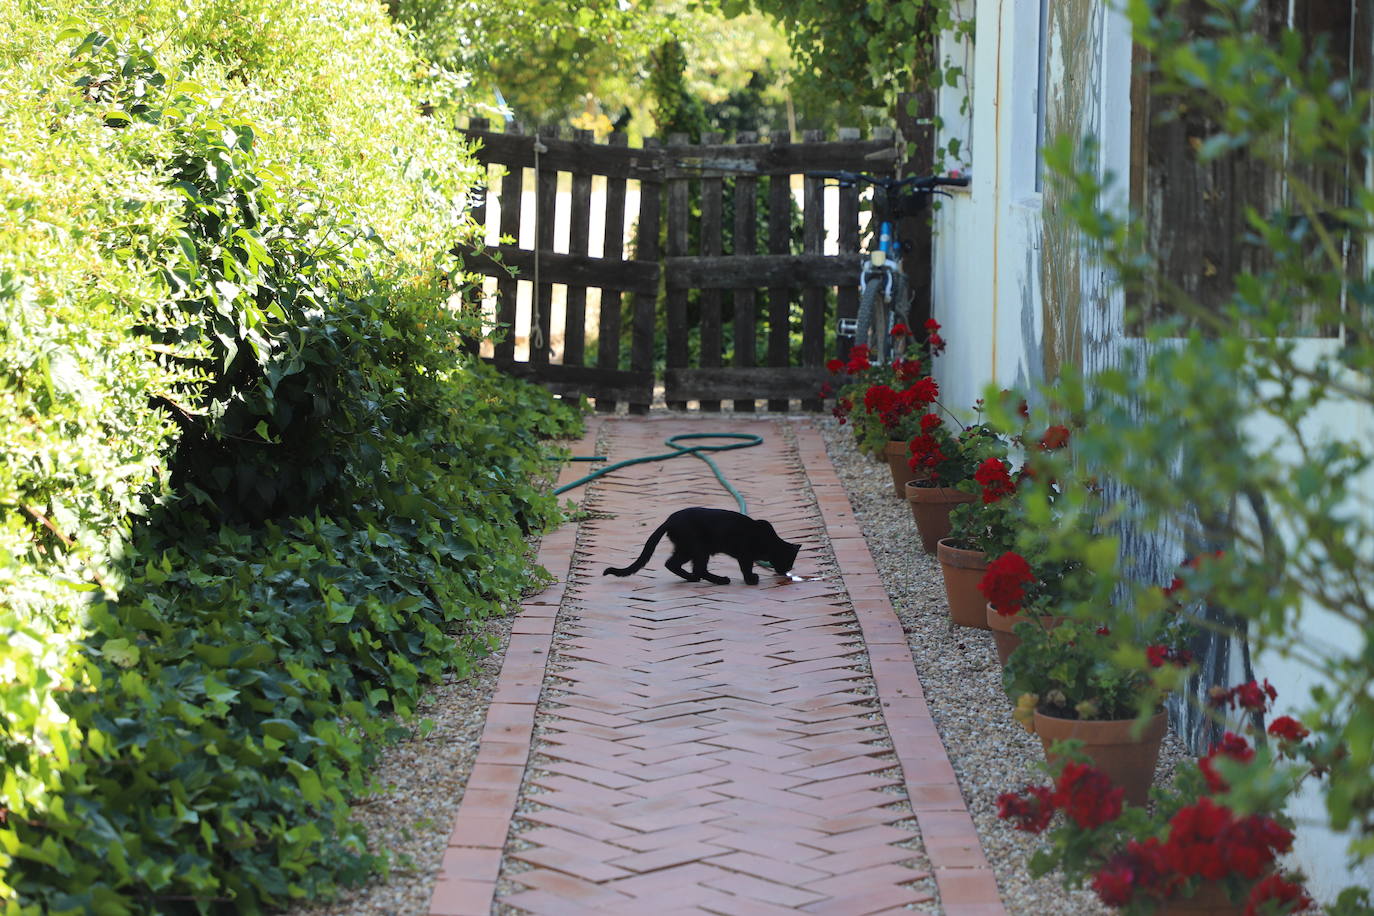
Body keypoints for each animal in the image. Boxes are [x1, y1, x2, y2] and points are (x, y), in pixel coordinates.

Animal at [604, 508, 802, 587]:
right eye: (789, 562)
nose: (786, 571)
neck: (770, 541)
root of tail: (669, 520)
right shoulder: (745, 554)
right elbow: (746, 568)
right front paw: (751, 580)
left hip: (688, 549)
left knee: (674, 564)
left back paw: (692, 578)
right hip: (698, 548)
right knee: (697, 569)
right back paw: (720, 580)